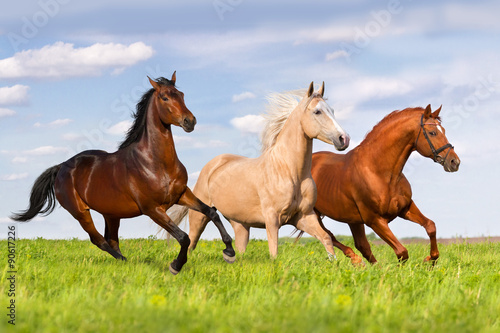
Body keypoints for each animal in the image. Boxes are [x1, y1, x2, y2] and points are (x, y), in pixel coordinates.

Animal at [11, 72, 236, 272]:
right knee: (99, 240)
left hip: (111, 214)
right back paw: (126, 261)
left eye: (181, 94)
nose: (190, 121)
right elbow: (183, 237)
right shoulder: (152, 209)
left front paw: (229, 252)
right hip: (80, 212)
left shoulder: (182, 194)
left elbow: (211, 212)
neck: (156, 163)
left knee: (111, 240)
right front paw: (175, 265)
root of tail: (62, 166)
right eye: (164, 97)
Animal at [166, 81, 350, 258]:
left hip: (240, 224)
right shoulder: (272, 219)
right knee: (192, 243)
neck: (289, 171)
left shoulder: (304, 216)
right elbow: (274, 252)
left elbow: (326, 239)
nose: (344, 139)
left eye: (332, 110)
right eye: (317, 112)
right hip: (199, 216)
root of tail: (212, 165)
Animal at [308, 105, 460, 264]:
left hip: (353, 220)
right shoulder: (375, 220)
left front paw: (430, 259)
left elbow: (430, 226)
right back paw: (356, 260)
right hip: (313, 215)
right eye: (432, 132)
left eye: (444, 130)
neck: (380, 172)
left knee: (361, 245)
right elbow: (402, 251)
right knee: (328, 236)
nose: (454, 162)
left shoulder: (405, 208)